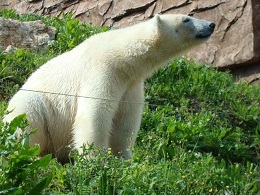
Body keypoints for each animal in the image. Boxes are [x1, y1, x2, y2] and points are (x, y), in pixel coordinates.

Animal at [3, 14, 215, 162]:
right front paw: (96, 160)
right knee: (26, 124)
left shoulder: (130, 84)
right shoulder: (102, 72)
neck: (121, 57)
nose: (211, 25)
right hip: (33, 108)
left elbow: (126, 121)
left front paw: (124, 159)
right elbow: (94, 116)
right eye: (186, 19)